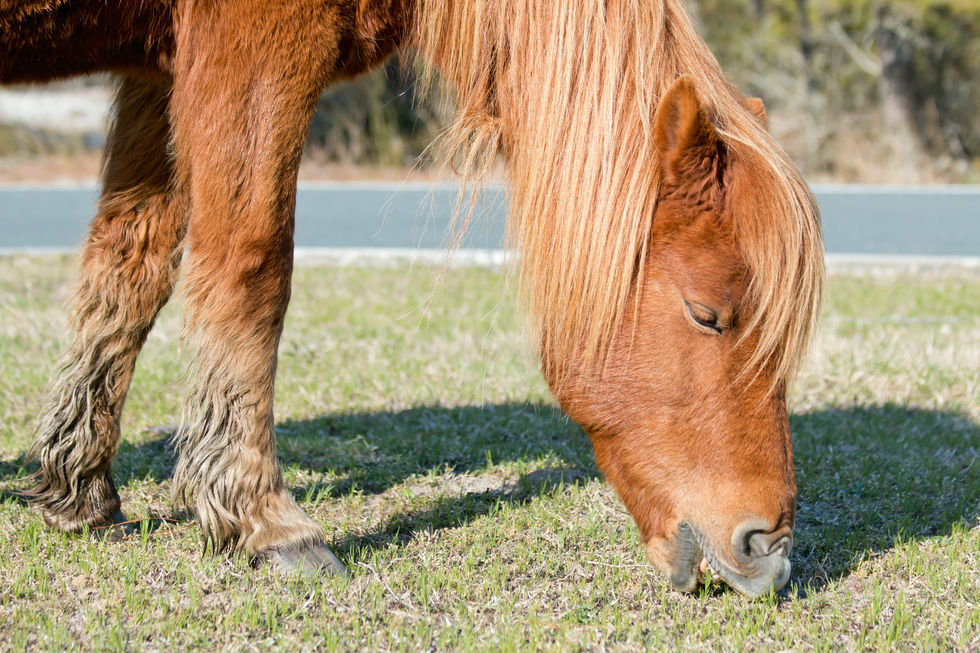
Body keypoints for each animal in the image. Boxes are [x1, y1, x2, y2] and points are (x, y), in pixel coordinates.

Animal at [1, 0, 823, 598]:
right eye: (707, 315)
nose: (770, 550)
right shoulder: (253, 51)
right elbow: (252, 268)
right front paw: (265, 522)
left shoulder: (159, 64)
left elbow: (129, 266)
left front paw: (78, 491)